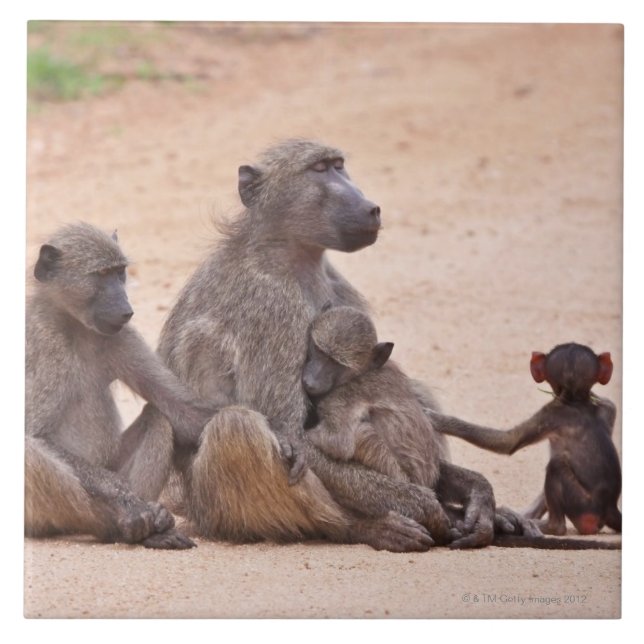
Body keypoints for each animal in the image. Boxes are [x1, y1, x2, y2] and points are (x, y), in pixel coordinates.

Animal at [25, 222, 217, 549]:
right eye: (101, 274)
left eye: (119, 273)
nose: (126, 309)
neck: (74, 323)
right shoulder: (44, 341)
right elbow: (34, 433)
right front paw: (127, 502)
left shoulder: (122, 335)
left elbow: (181, 410)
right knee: (31, 452)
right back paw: (118, 522)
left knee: (158, 417)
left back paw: (149, 530)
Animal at [124, 139, 540, 551]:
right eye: (320, 169)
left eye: (340, 165)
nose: (371, 207)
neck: (289, 255)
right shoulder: (272, 308)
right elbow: (289, 433)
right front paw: (429, 506)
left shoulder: (340, 293)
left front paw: (477, 495)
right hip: (210, 510)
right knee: (238, 427)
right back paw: (365, 528)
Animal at [429, 343, 622, 540]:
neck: (577, 400)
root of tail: (609, 507)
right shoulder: (606, 407)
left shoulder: (550, 412)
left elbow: (508, 442)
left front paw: (438, 419)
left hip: (583, 506)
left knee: (556, 464)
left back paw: (550, 527)